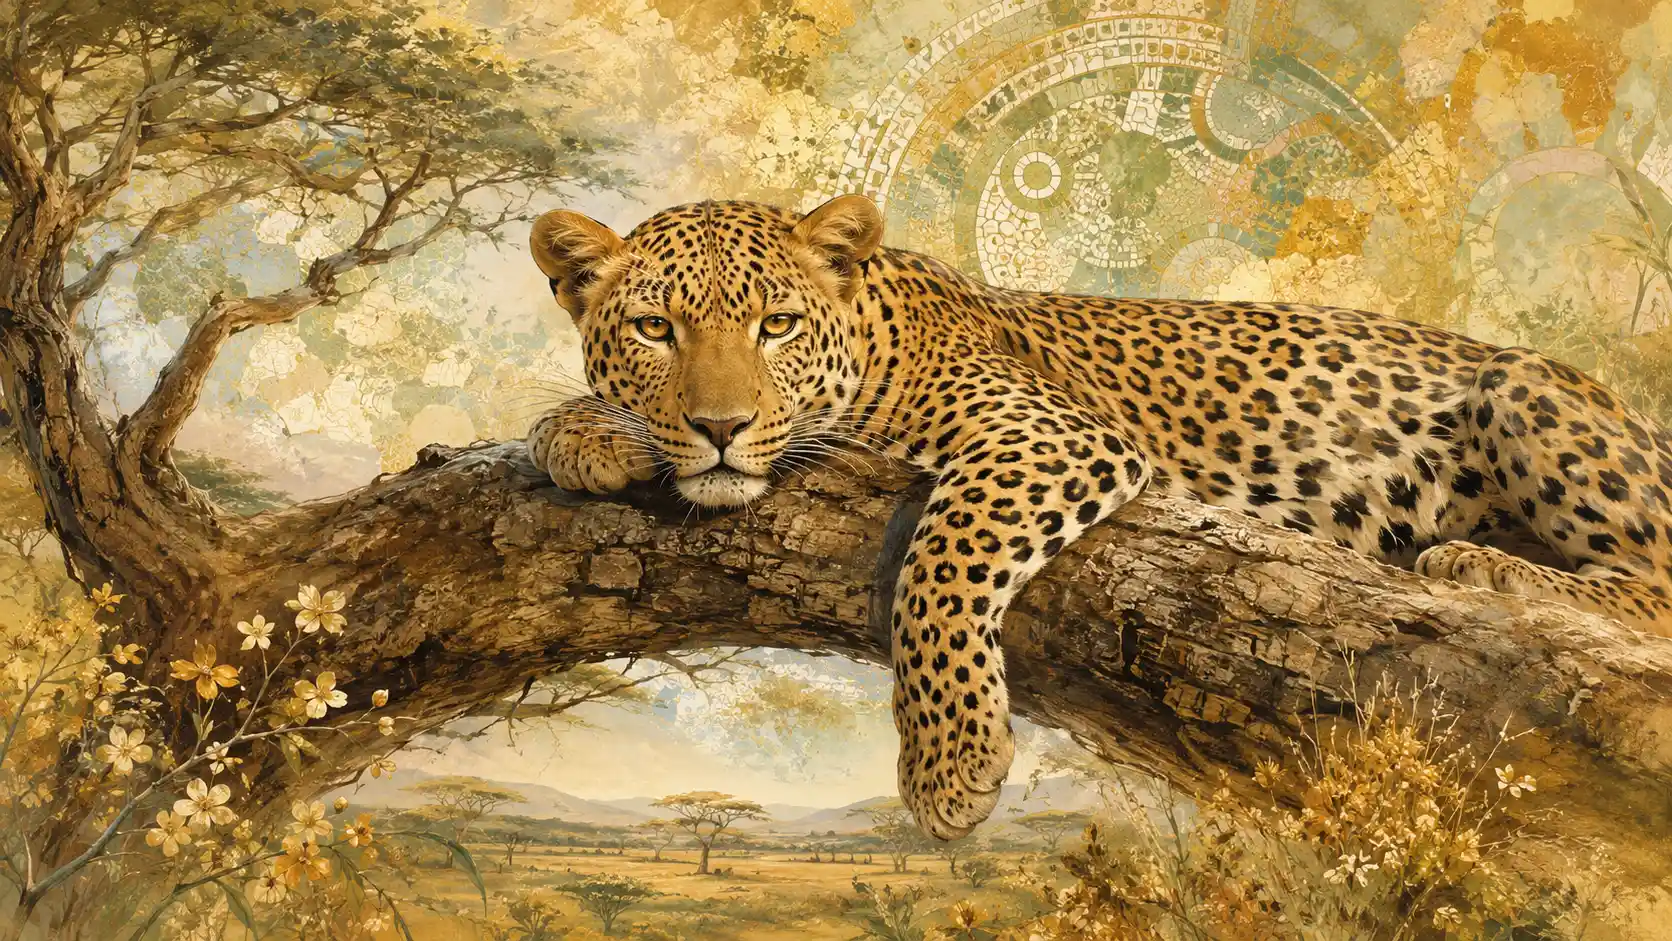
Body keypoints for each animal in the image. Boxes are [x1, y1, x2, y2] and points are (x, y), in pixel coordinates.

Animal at [524, 195, 1672, 840]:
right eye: (654, 329)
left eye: (775, 325)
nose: (720, 425)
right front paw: (582, 430)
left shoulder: (1049, 436)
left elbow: (939, 566)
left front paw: (951, 760)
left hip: (1522, 388)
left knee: (1652, 575)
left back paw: (1488, 566)